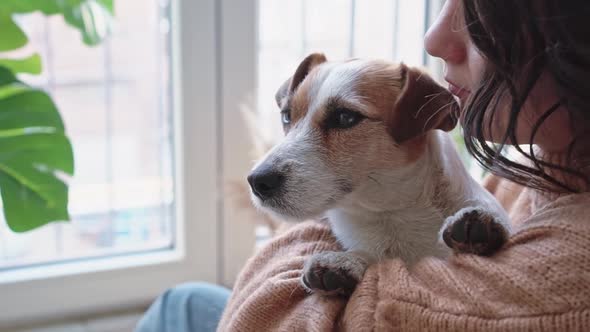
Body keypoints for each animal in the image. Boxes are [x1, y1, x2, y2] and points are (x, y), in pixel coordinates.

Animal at [247, 53, 512, 296]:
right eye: (286, 116)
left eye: (345, 117)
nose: (257, 181)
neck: (393, 212)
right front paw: (348, 261)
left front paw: (481, 226)